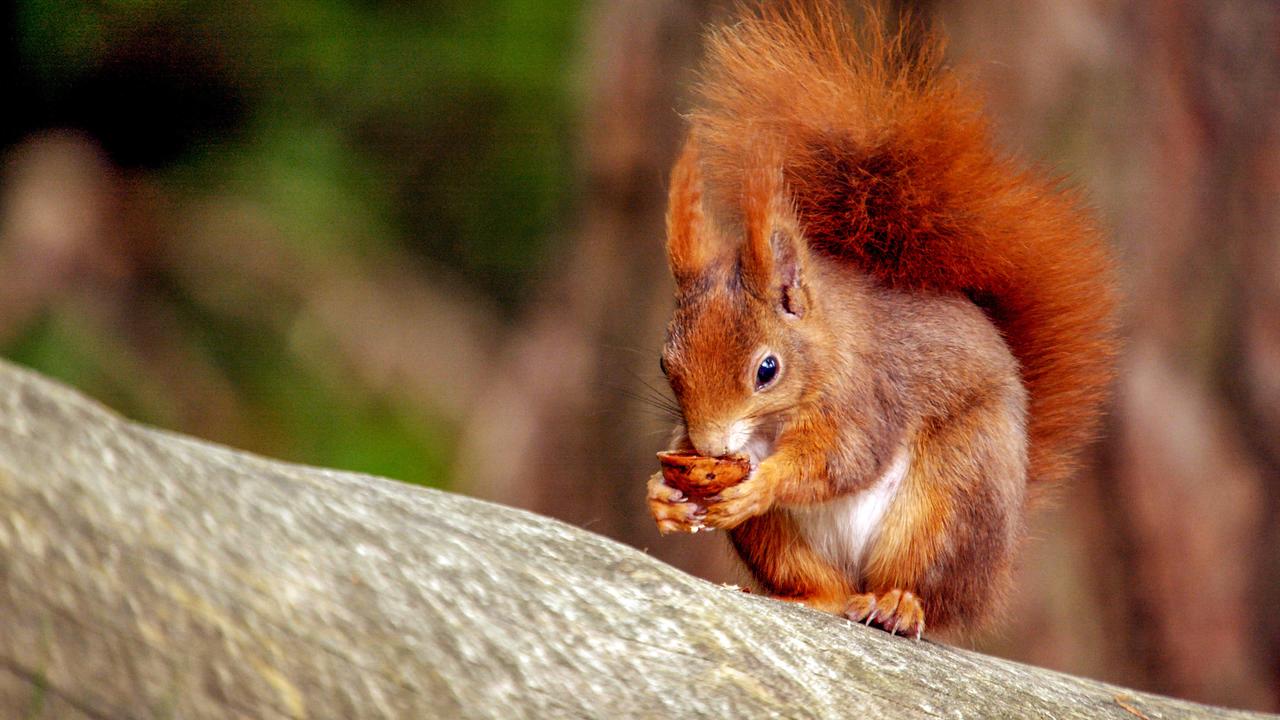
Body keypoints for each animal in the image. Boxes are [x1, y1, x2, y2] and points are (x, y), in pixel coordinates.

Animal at [646, 1, 1117, 639]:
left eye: (767, 369)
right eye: (665, 363)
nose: (712, 447)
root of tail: (992, 571)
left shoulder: (864, 397)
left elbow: (845, 459)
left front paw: (762, 481)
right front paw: (662, 495)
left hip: (951, 499)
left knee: (923, 586)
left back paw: (898, 604)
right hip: (781, 540)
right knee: (825, 587)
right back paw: (810, 598)